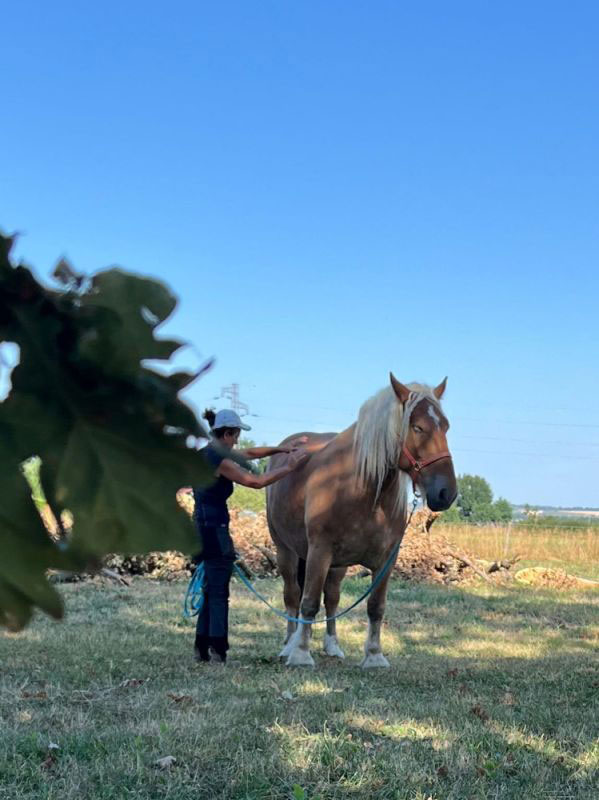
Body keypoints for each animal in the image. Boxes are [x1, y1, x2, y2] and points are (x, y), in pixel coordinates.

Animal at [265, 373, 457, 668]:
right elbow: (308, 602)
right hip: (286, 550)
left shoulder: (386, 558)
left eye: (445, 427)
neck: (362, 491)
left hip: (337, 566)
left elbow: (375, 607)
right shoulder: (319, 551)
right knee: (293, 596)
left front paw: (374, 655)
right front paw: (301, 654)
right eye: (417, 427)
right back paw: (289, 645)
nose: (446, 493)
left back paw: (332, 646)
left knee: (332, 598)